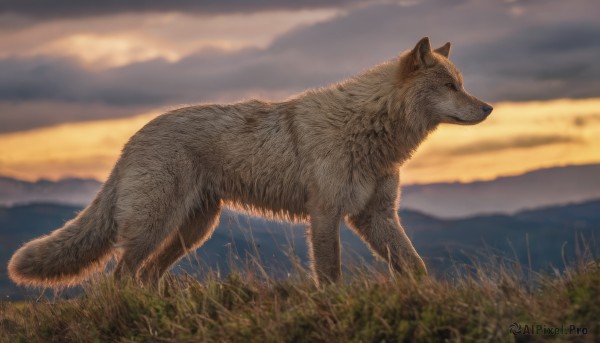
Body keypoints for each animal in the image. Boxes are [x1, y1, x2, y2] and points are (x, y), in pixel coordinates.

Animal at [7, 37, 492, 288]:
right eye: (450, 86)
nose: (489, 108)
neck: (368, 129)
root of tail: (133, 138)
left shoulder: (376, 217)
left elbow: (416, 267)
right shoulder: (325, 215)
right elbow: (330, 276)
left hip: (193, 231)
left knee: (145, 276)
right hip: (155, 227)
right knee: (121, 276)